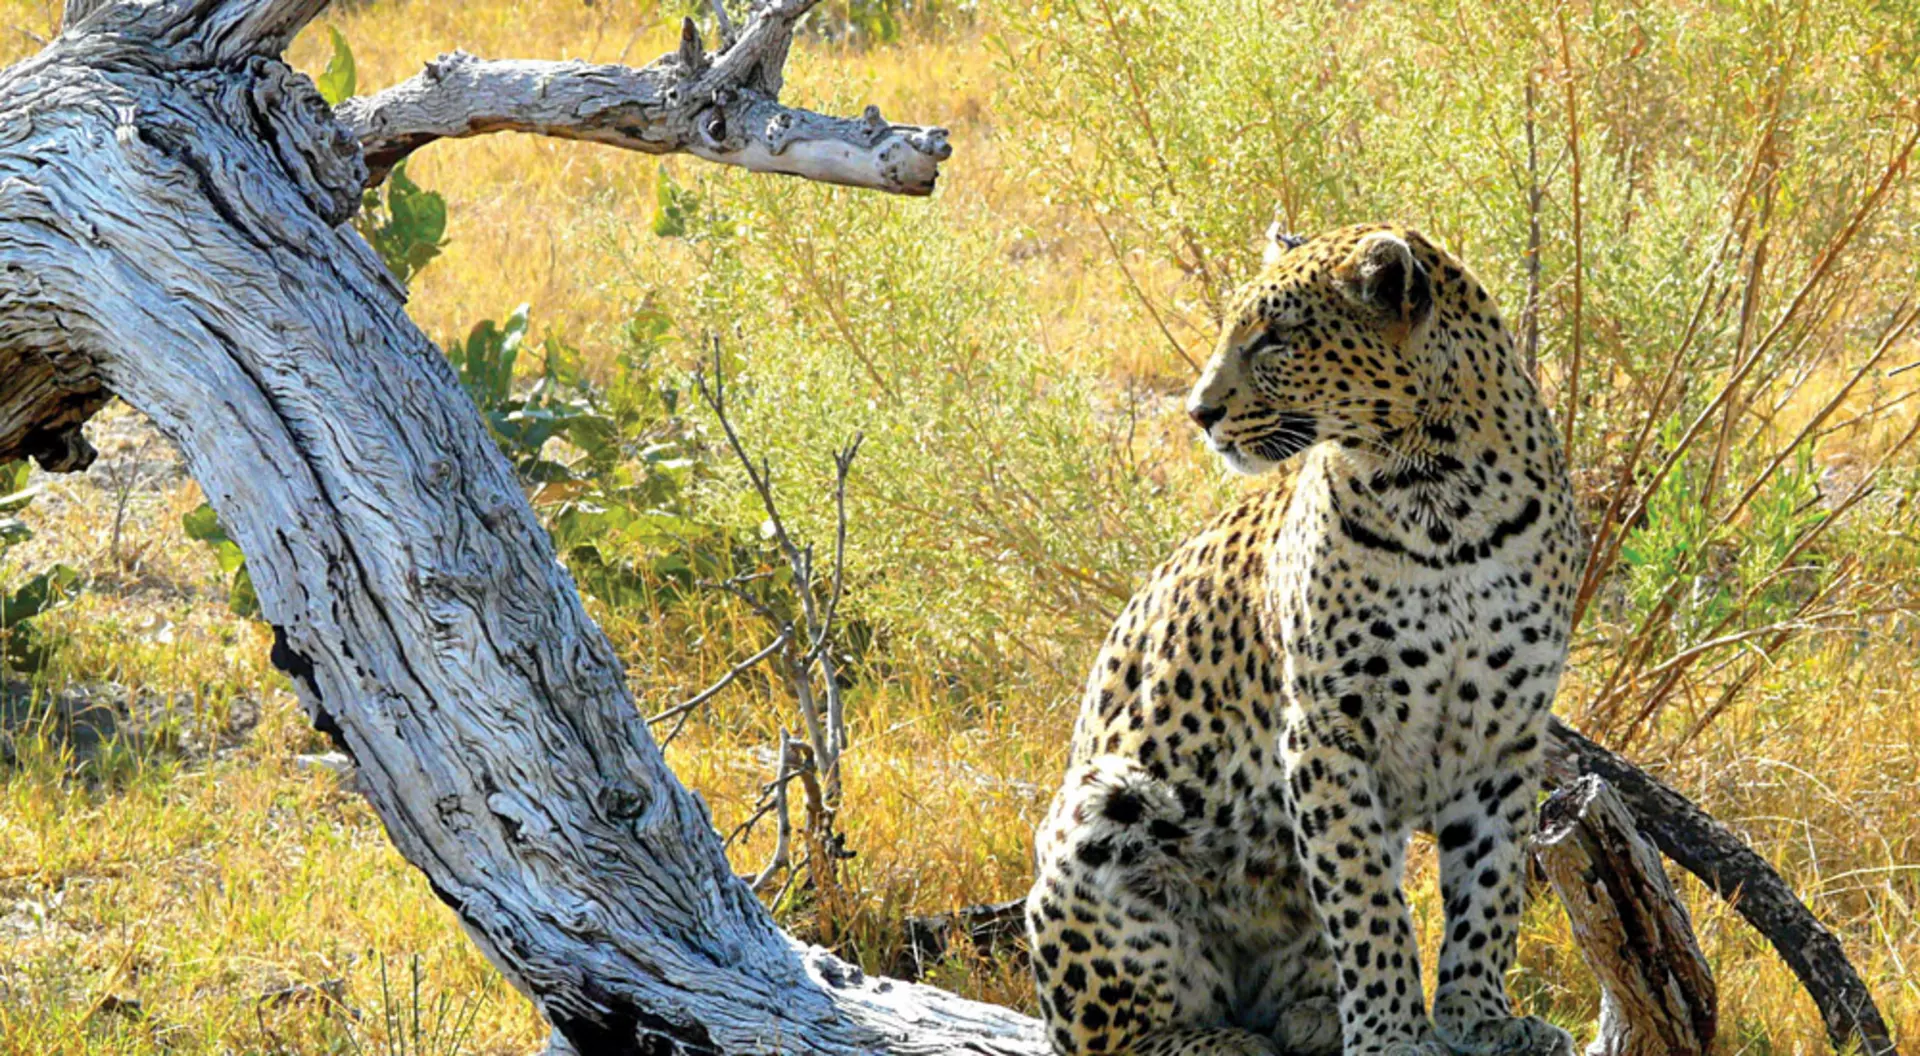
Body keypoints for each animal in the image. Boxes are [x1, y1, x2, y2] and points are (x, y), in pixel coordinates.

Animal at [1024, 223, 1585, 1056]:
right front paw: (1392, 1033)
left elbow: (1490, 887)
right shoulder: (1327, 725)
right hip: (1100, 806)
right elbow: (1366, 899)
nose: (1198, 412)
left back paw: (1311, 1017)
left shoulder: (1507, 736)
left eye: (1275, 340)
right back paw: (1221, 1040)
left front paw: (1479, 1016)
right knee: (1106, 1035)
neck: (1441, 494)